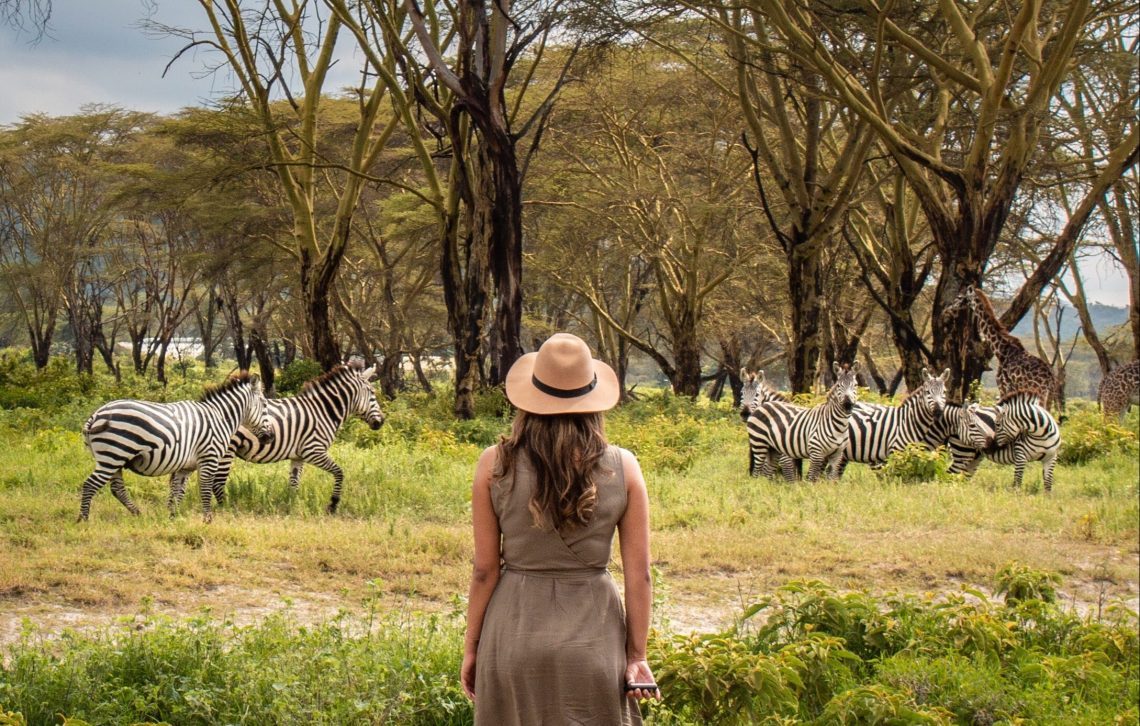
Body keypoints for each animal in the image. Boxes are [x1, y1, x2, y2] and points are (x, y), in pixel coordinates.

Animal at [78, 373, 271, 521]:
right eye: (264, 405)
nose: (270, 437)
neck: (219, 417)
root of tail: (95, 415)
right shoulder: (209, 458)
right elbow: (205, 488)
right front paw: (207, 519)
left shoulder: (185, 466)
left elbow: (177, 492)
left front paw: (173, 517)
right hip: (113, 455)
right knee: (89, 485)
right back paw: (83, 520)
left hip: (114, 459)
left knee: (117, 489)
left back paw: (138, 513)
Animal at [166, 364, 385, 512]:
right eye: (373, 393)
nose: (381, 422)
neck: (324, 411)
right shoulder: (314, 450)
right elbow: (340, 472)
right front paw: (333, 504)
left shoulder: (298, 456)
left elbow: (294, 482)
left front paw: (292, 505)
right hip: (225, 451)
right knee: (217, 483)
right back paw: (226, 508)